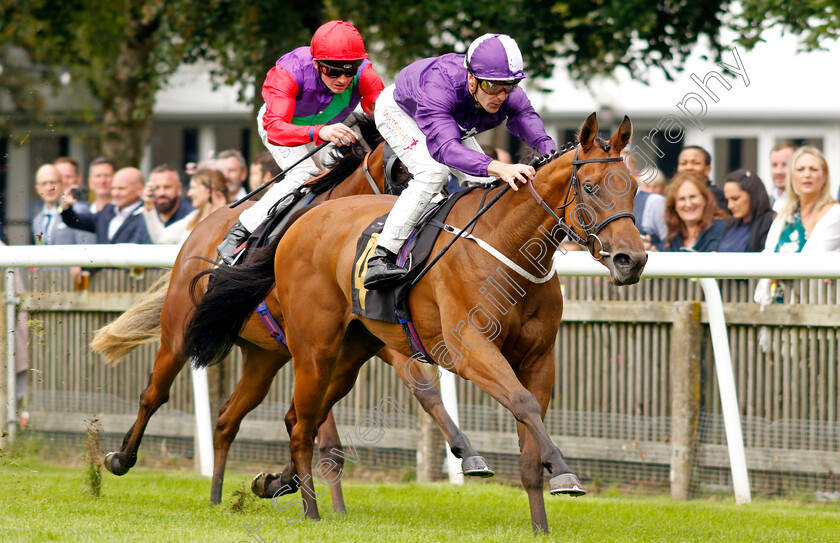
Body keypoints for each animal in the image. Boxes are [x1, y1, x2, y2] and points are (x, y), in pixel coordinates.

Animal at [92, 121, 492, 508]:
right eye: (401, 170)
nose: (430, 219)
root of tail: (198, 229)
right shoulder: (322, 340)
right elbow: (316, 423)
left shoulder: (371, 337)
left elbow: (424, 391)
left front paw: (469, 453)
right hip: (178, 332)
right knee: (154, 394)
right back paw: (120, 459)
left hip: (263, 356)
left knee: (227, 417)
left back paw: (218, 495)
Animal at [185, 112, 648, 532]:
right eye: (589, 187)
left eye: (634, 188)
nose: (633, 260)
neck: (508, 246)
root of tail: (301, 223)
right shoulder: (470, 350)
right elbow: (521, 403)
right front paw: (564, 471)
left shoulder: (539, 359)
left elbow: (529, 437)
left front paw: (541, 523)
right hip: (312, 351)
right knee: (299, 426)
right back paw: (310, 512)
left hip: (345, 358)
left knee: (301, 417)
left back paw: (277, 484)